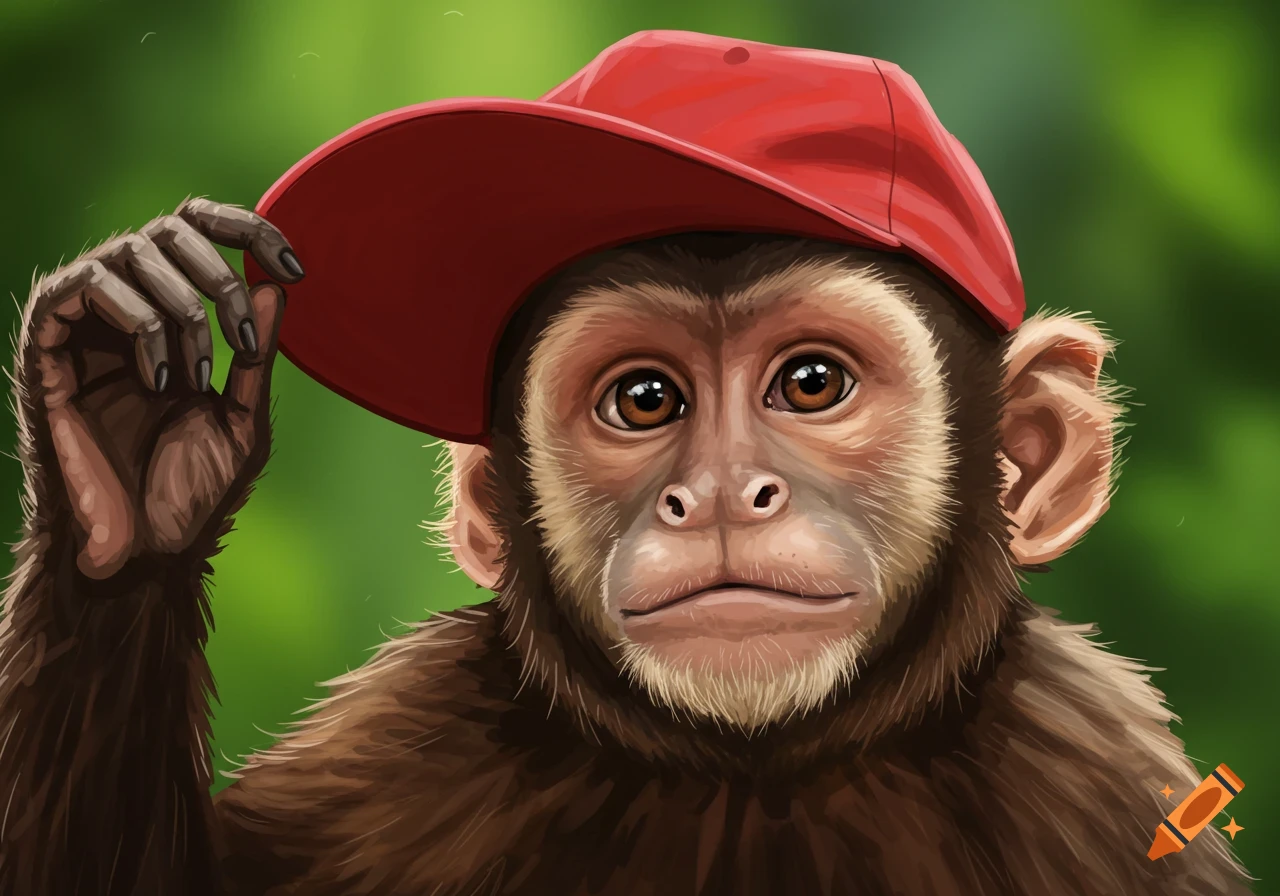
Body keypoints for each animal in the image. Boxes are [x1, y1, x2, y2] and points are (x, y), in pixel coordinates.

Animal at [0, 197, 1254, 894]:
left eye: (812, 382)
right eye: (644, 399)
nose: (717, 494)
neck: (754, 780)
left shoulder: (1092, 776)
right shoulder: (404, 739)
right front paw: (125, 446)